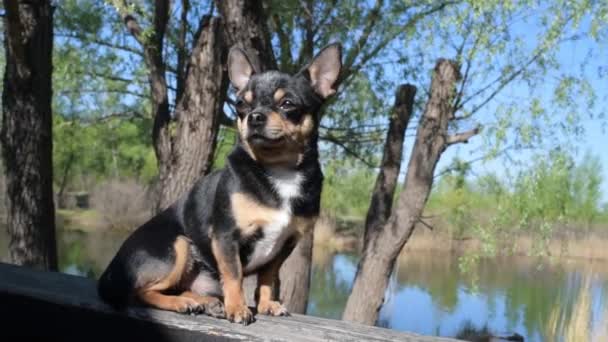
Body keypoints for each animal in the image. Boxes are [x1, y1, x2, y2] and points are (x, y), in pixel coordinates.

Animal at [97, 42, 340, 324]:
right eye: (241, 104)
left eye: (287, 104)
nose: (254, 116)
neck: (279, 170)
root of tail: (110, 270)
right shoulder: (226, 236)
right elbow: (234, 275)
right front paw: (238, 308)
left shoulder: (284, 244)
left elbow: (268, 278)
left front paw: (266, 305)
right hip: (178, 245)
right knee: (141, 292)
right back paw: (185, 303)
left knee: (175, 288)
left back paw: (205, 302)